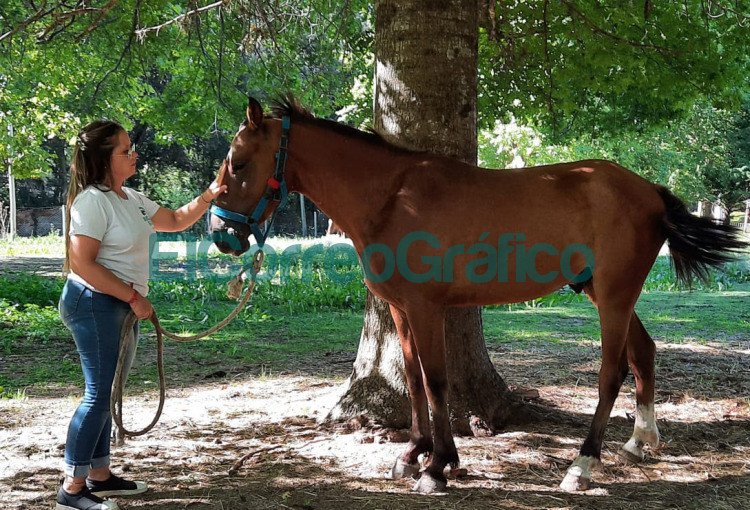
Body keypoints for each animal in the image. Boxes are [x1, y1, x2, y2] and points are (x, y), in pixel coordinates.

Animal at [209, 95, 747, 494]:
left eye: (237, 162)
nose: (220, 234)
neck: (391, 198)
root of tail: (650, 191)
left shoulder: (426, 309)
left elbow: (436, 381)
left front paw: (438, 467)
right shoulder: (401, 311)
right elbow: (413, 378)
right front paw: (413, 453)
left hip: (614, 296)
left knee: (611, 373)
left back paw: (581, 466)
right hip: (605, 292)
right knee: (645, 352)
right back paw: (640, 441)